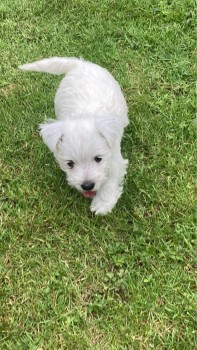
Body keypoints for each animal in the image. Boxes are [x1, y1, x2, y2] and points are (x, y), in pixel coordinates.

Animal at [19, 57, 129, 215]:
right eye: (70, 163)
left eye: (98, 159)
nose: (87, 185)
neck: (83, 116)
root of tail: (80, 63)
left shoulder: (114, 158)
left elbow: (111, 180)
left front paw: (102, 204)